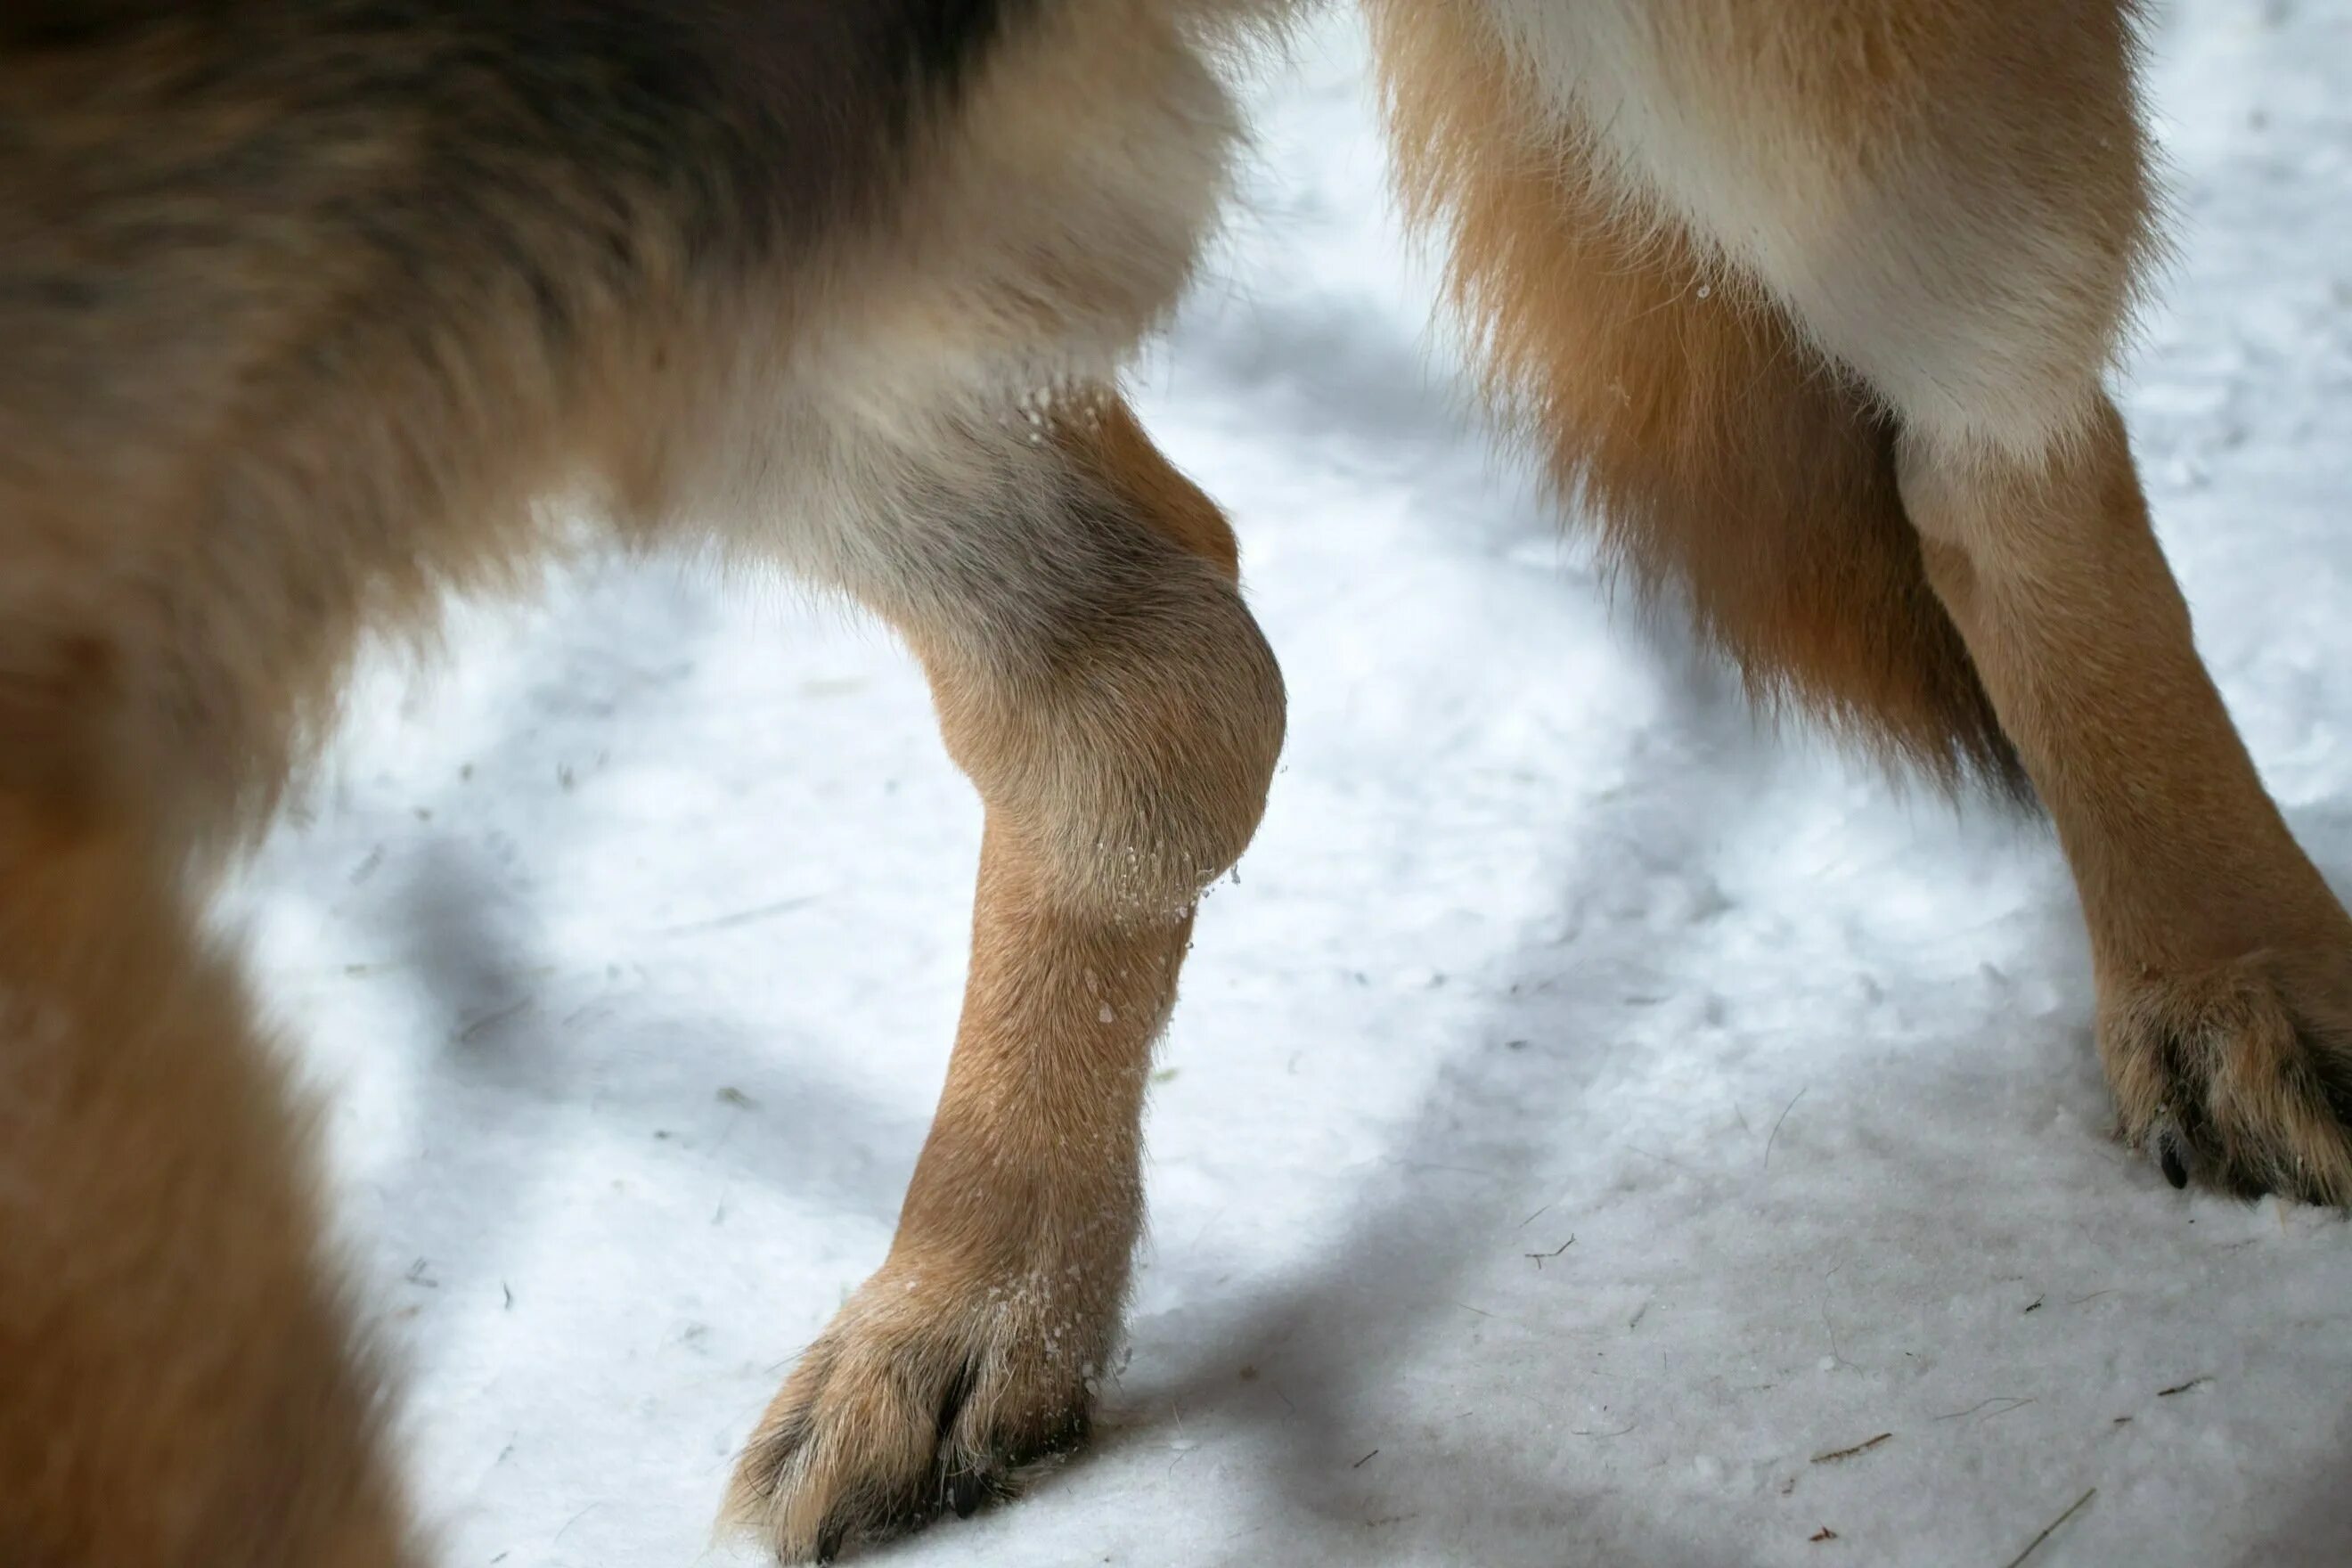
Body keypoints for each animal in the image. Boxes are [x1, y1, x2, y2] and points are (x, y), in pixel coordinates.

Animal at [0, 3, 2342, 1568]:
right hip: (731, 272)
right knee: (1166, 661)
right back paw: (967, 1303)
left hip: (1800, 115)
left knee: (1992, 447)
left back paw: (2235, 971)